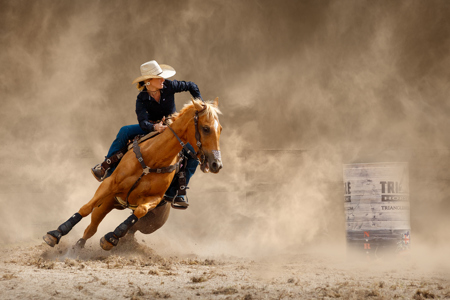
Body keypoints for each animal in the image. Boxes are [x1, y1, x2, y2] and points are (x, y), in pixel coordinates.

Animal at [43, 98, 222, 251]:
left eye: (220, 129)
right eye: (206, 128)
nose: (216, 164)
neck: (153, 158)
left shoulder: (154, 199)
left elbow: (139, 211)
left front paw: (111, 237)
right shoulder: (109, 184)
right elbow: (86, 208)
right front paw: (56, 233)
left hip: (152, 223)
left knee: (130, 228)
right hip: (108, 202)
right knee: (91, 226)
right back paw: (77, 246)